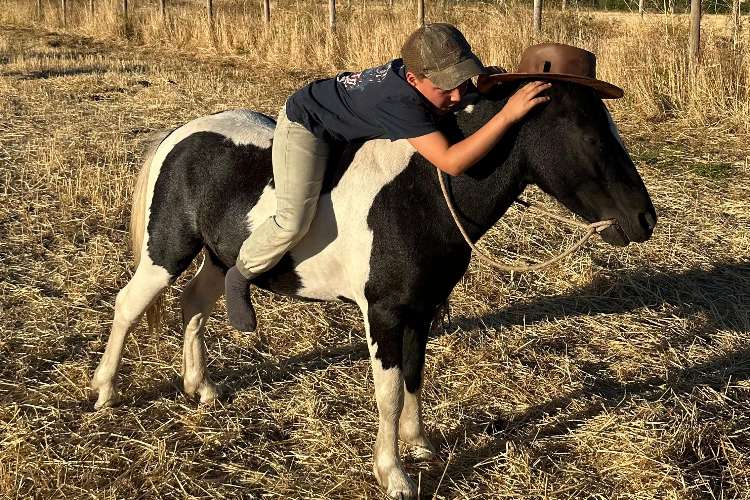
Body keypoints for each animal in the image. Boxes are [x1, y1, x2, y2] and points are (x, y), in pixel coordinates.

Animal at [90, 81, 657, 498]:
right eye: (591, 137)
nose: (644, 219)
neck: (424, 191)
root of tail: (182, 133)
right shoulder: (383, 312)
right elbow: (387, 390)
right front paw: (395, 473)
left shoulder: (420, 311)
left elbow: (414, 375)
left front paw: (419, 443)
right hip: (166, 252)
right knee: (128, 305)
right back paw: (105, 391)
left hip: (219, 256)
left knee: (195, 304)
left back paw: (200, 386)